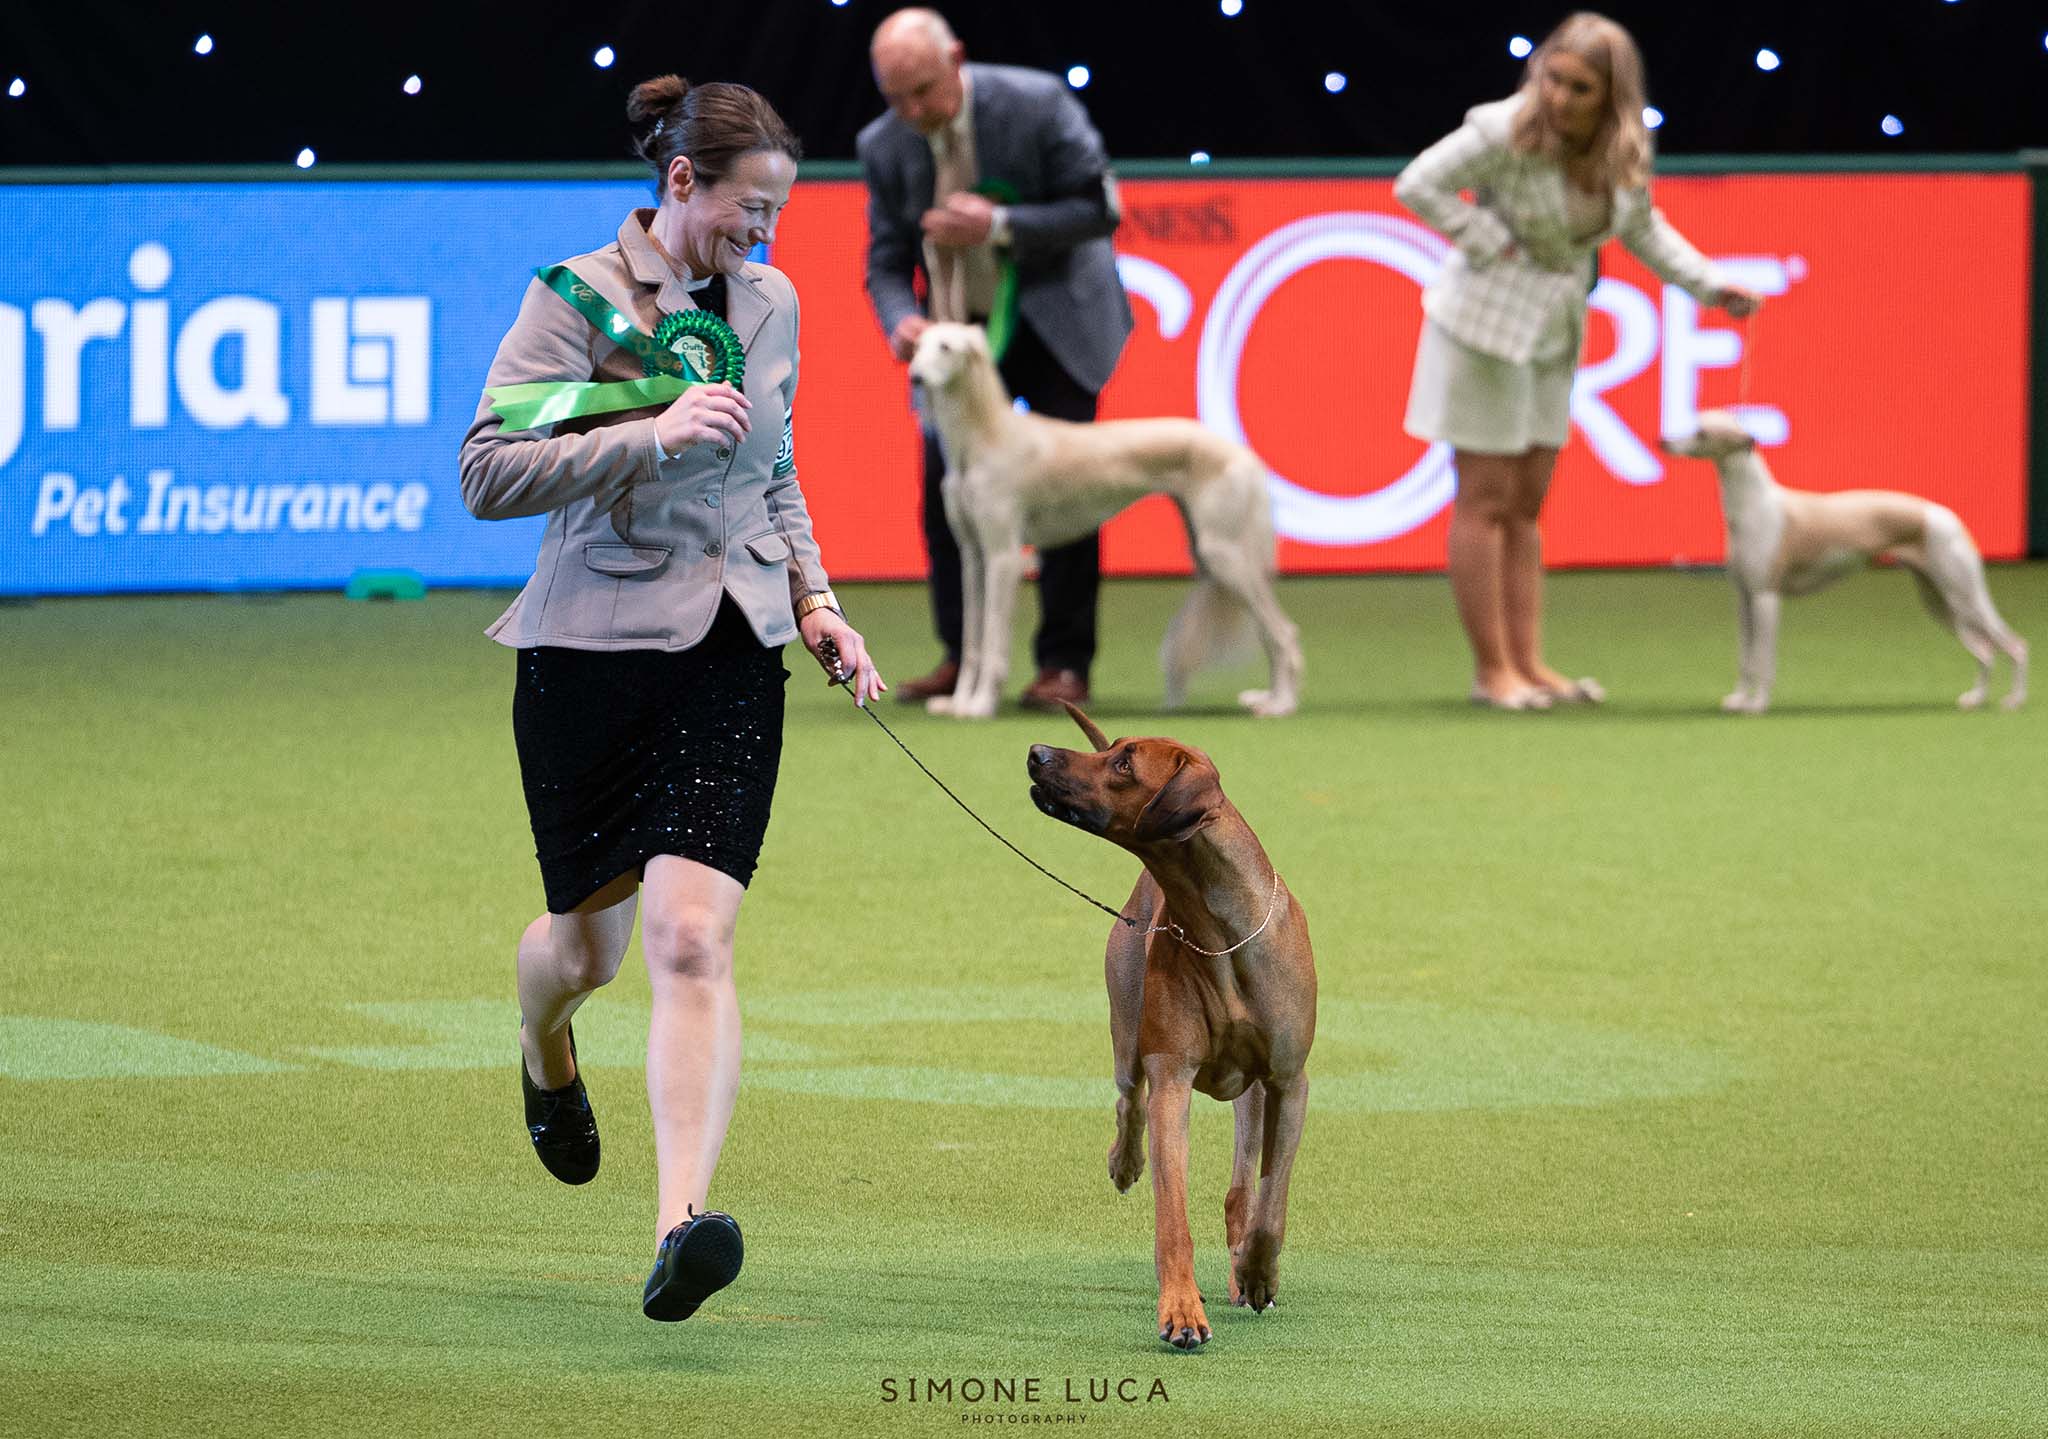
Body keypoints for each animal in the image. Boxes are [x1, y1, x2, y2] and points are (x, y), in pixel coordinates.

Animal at [909, 321, 1302, 720]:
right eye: (917, 346)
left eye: (946, 346)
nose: (916, 378)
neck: (985, 439)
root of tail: (1244, 454)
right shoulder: (972, 555)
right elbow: (971, 640)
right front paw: (958, 702)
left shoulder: (1003, 555)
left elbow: (992, 640)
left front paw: (981, 704)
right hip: (1210, 552)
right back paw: (1270, 698)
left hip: (1225, 555)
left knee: (1282, 633)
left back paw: (1281, 703)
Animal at [1032, 704, 1318, 1342]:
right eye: (1112, 746)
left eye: (1123, 763)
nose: (1037, 752)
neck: (1222, 932)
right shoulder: (1171, 1077)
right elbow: (1172, 1214)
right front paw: (1182, 1310)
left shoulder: (1290, 1080)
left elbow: (1273, 1202)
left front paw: (1257, 1273)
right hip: (1125, 1018)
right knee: (1127, 1096)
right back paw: (1125, 1161)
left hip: (1253, 1091)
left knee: (1243, 1188)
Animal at [1662, 411, 2031, 716]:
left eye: (1701, 433)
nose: (1662, 441)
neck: (1755, 507)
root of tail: (1947, 516)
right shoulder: (1743, 598)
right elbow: (1745, 658)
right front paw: (1739, 700)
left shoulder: (1767, 597)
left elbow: (1763, 660)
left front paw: (1758, 704)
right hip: (1939, 602)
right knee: (1984, 651)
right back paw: (1975, 699)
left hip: (1965, 596)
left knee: (2015, 645)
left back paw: (2014, 701)